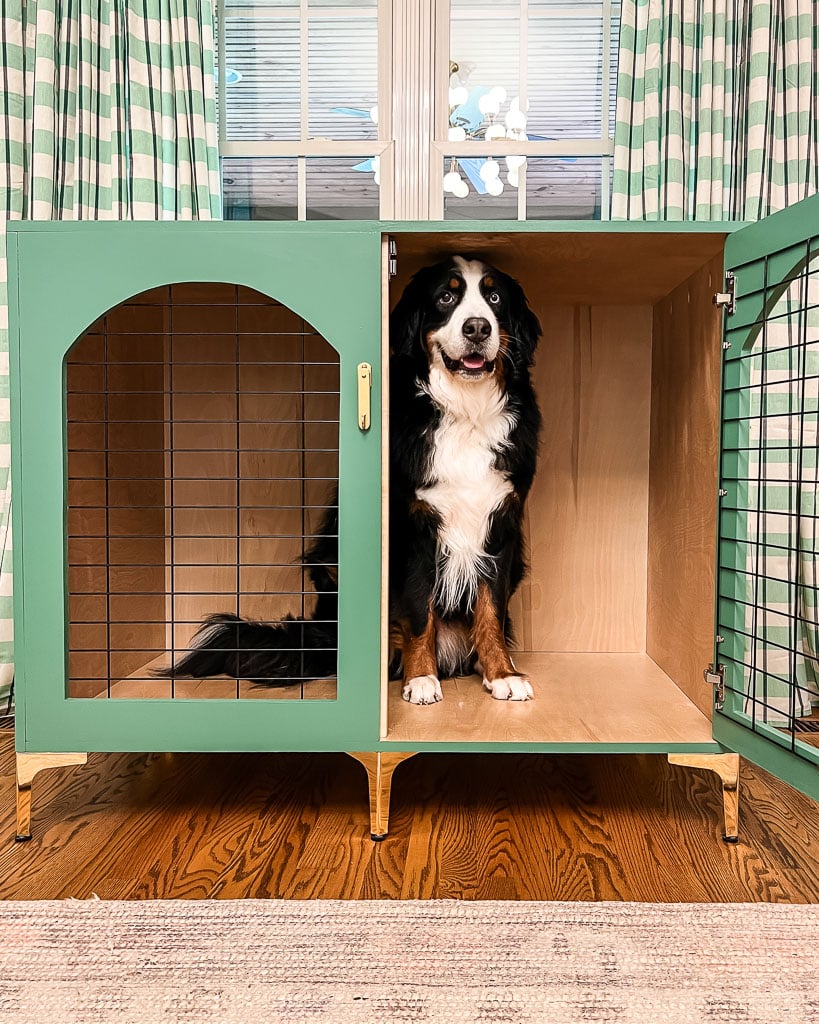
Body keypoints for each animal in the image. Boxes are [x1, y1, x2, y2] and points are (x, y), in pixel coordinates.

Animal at [160, 256, 544, 704]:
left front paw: (503, 673)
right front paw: (421, 678)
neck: (465, 412)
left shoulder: (500, 524)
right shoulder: (412, 528)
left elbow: (491, 609)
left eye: (494, 297)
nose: (478, 328)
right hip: (332, 565)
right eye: (446, 298)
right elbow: (419, 611)